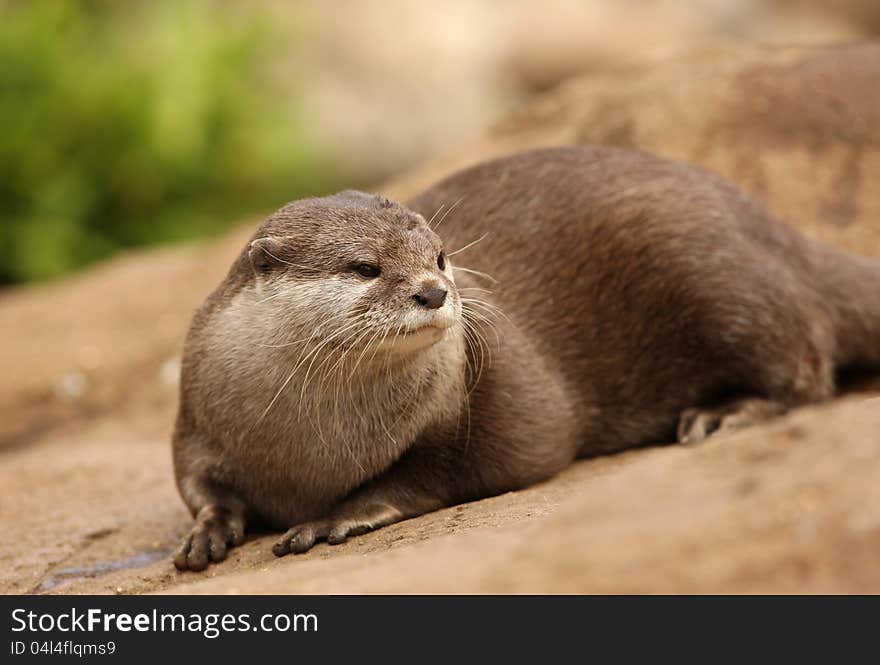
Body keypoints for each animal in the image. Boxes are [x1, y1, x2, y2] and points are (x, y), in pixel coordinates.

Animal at [170, 147, 872, 572]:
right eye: (365, 267)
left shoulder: (488, 404)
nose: (435, 291)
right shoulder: (197, 415)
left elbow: (455, 467)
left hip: (723, 282)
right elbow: (199, 486)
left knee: (806, 367)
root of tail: (779, 232)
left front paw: (336, 517)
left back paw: (723, 414)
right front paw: (206, 532)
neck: (313, 448)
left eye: (441, 256)